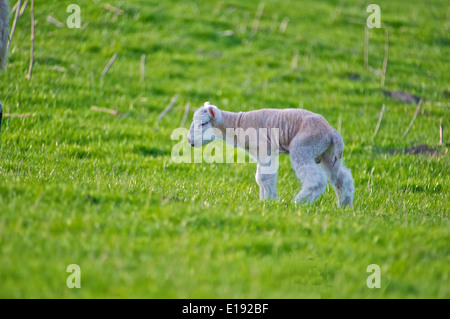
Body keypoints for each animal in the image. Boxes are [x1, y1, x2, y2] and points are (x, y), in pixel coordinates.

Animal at [186, 101, 356, 209]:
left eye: (203, 123)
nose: (189, 141)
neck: (237, 124)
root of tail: (332, 132)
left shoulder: (264, 148)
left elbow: (263, 177)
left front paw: (270, 200)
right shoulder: (264, 152)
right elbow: (262, 177)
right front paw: (264, 200)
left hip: (304, 145)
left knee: (317, 179)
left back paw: (300, 202)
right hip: (327, 153)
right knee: (342, 178)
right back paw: (345, 206)